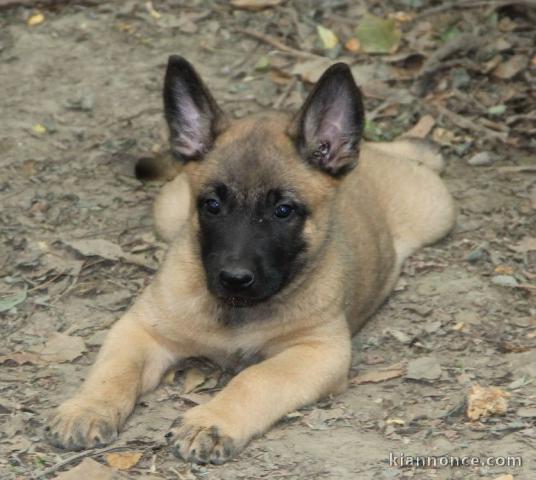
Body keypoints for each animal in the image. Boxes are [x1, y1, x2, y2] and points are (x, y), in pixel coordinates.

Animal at [47, 57, 456, 464]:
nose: (234, 278)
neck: (236, 312)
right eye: (212, 205)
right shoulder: (141, 329)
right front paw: (88, 407)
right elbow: (115, 369)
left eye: (283, 211)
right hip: (166, 212)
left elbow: (256, 379)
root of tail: (367, 152)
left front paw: (211, 421)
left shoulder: (319, 352)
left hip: (437, 211)